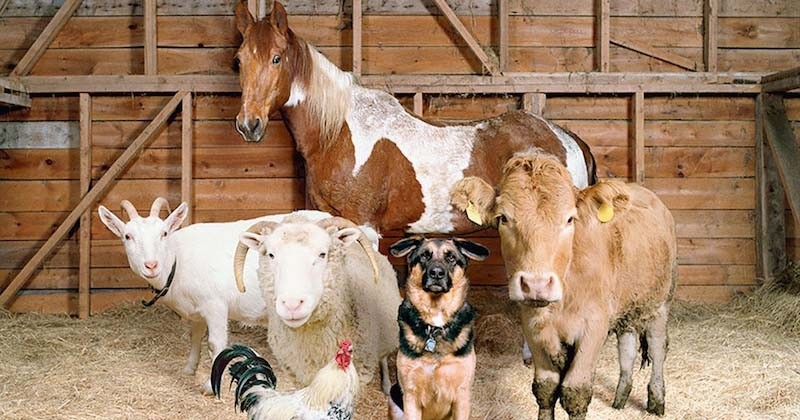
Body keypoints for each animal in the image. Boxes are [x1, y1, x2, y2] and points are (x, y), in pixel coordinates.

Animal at [97, 197, 338, 394]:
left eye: (163, 234)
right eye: (128, 236)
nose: (151, 265)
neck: (177, 259)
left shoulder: (215, 306)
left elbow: (215, 344)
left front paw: (209, 387)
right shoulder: (196, 310)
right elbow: (194, 337)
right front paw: (189, 369)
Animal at [231, 1, 592, 235]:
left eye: (276, 58)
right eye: (238, 60)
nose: (249, 124)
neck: (339, 135)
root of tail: (566, 138)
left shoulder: (364, 226)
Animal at [386, 236, 490, 420]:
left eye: (451, 258)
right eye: (424, 256)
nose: (436, 273)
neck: (435, 325)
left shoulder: (462, 395)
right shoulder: (411, 394)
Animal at [450, 152, 676, 420]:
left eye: (569, 219)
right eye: (503, 218)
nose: (536, 284)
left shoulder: (594, 325)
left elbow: (575, 391)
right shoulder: (533, 325)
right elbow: (545, 388)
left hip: (661, 301)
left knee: (657, 346)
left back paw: (657, 401)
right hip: (627, 306)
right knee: (627, 346)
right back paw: (620, 398)